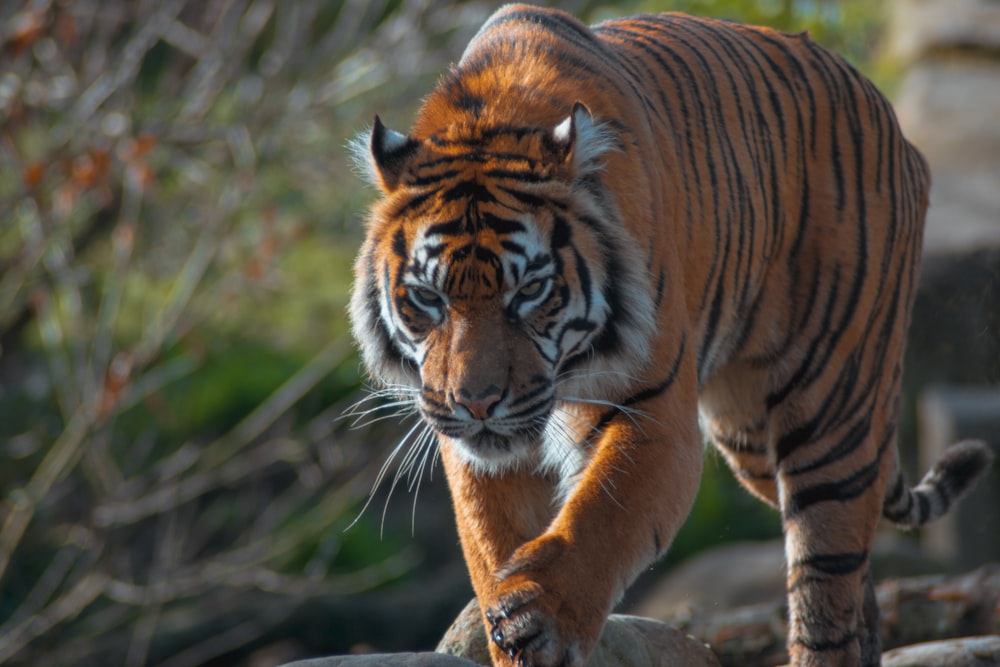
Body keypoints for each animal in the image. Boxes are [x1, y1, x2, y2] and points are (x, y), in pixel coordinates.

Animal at [346, 5, 992, 667]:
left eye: (529, 290)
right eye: (429, 298)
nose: (475, 404)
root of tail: (886, 112)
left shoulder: (654, 412)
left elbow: (602, 517)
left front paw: (537, 616)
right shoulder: (475, 448)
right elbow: (490, 540)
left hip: (831, 411)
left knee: (826, 582)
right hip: (751, 439)